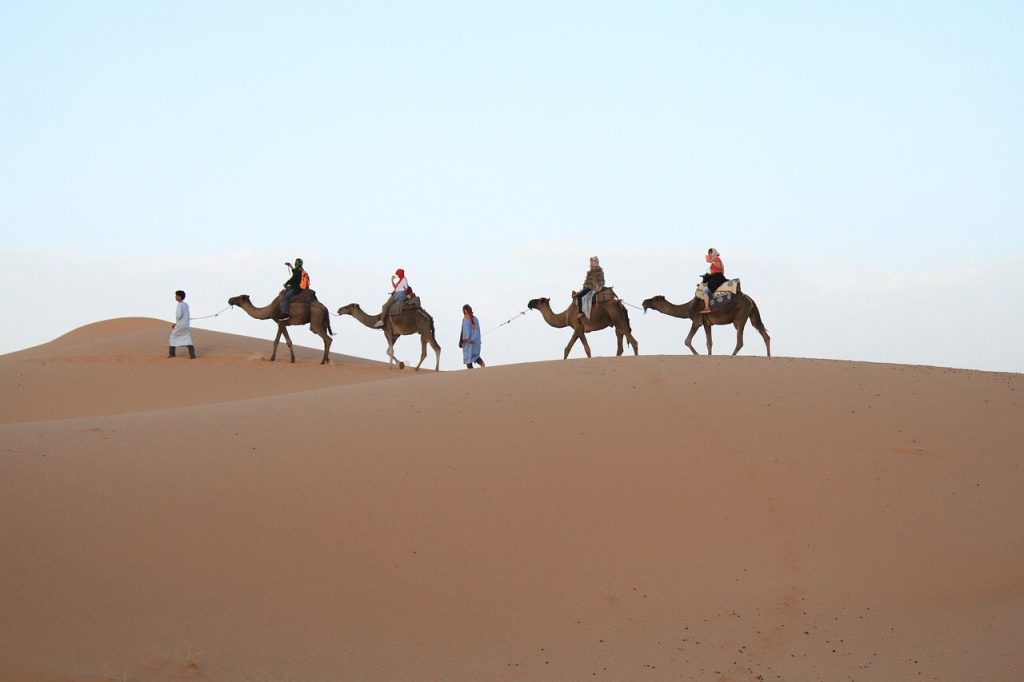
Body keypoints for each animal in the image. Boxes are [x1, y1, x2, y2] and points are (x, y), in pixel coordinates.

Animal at [638, 290, 770, 356]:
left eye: (654, 299)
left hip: (740, 317)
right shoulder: (707, 324)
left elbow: (687, 341)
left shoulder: (696, 321)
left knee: (740, 341)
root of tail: (750, 299)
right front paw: (708, 355)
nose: (644, 301)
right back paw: (769, 357)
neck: (688, 308)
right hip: (752, 314)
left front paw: (697, 354)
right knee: (764, 333)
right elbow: (709, 343)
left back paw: (731, 356)